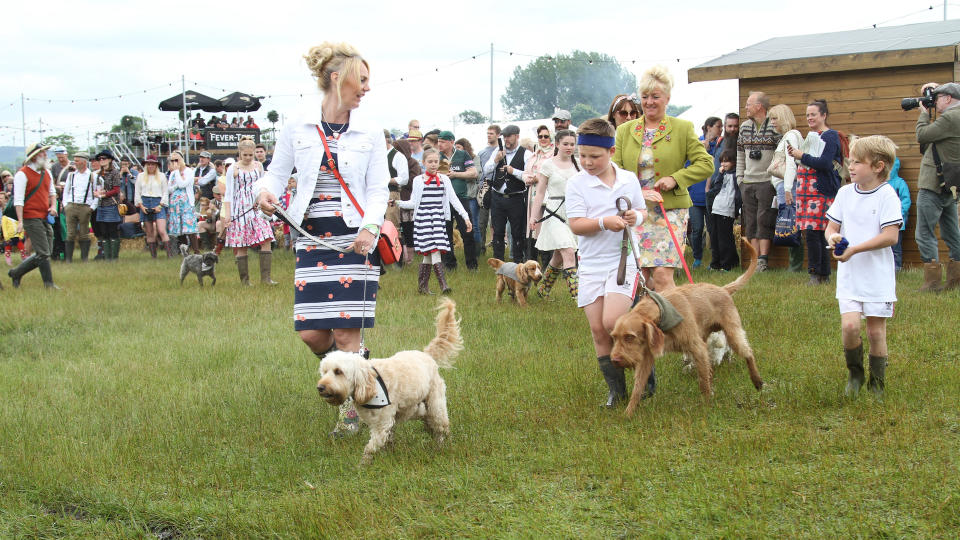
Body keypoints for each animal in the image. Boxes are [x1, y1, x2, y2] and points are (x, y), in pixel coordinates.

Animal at [316, 298, 464, 466]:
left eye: (338, 371)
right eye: (324, 371)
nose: (320, 387)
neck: (371, 383)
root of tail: (427, 355)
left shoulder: (382, 423)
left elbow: (371, 447)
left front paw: (363, 464)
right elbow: (386, 440)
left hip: (435, 405)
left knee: (441, 427)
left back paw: (442, 446)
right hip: (415, 408)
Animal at [616, 238, 764, 416]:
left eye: (629, 337)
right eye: (614, 337)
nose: (615, 360)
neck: (662, 312)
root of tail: (723, 289)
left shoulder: (697, 348)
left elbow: (703, 383)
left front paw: (707, 405)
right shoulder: (647, 357)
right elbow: (637, 388)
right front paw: (628, 413)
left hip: (733, 335)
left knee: (748, 353)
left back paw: (757, 380)